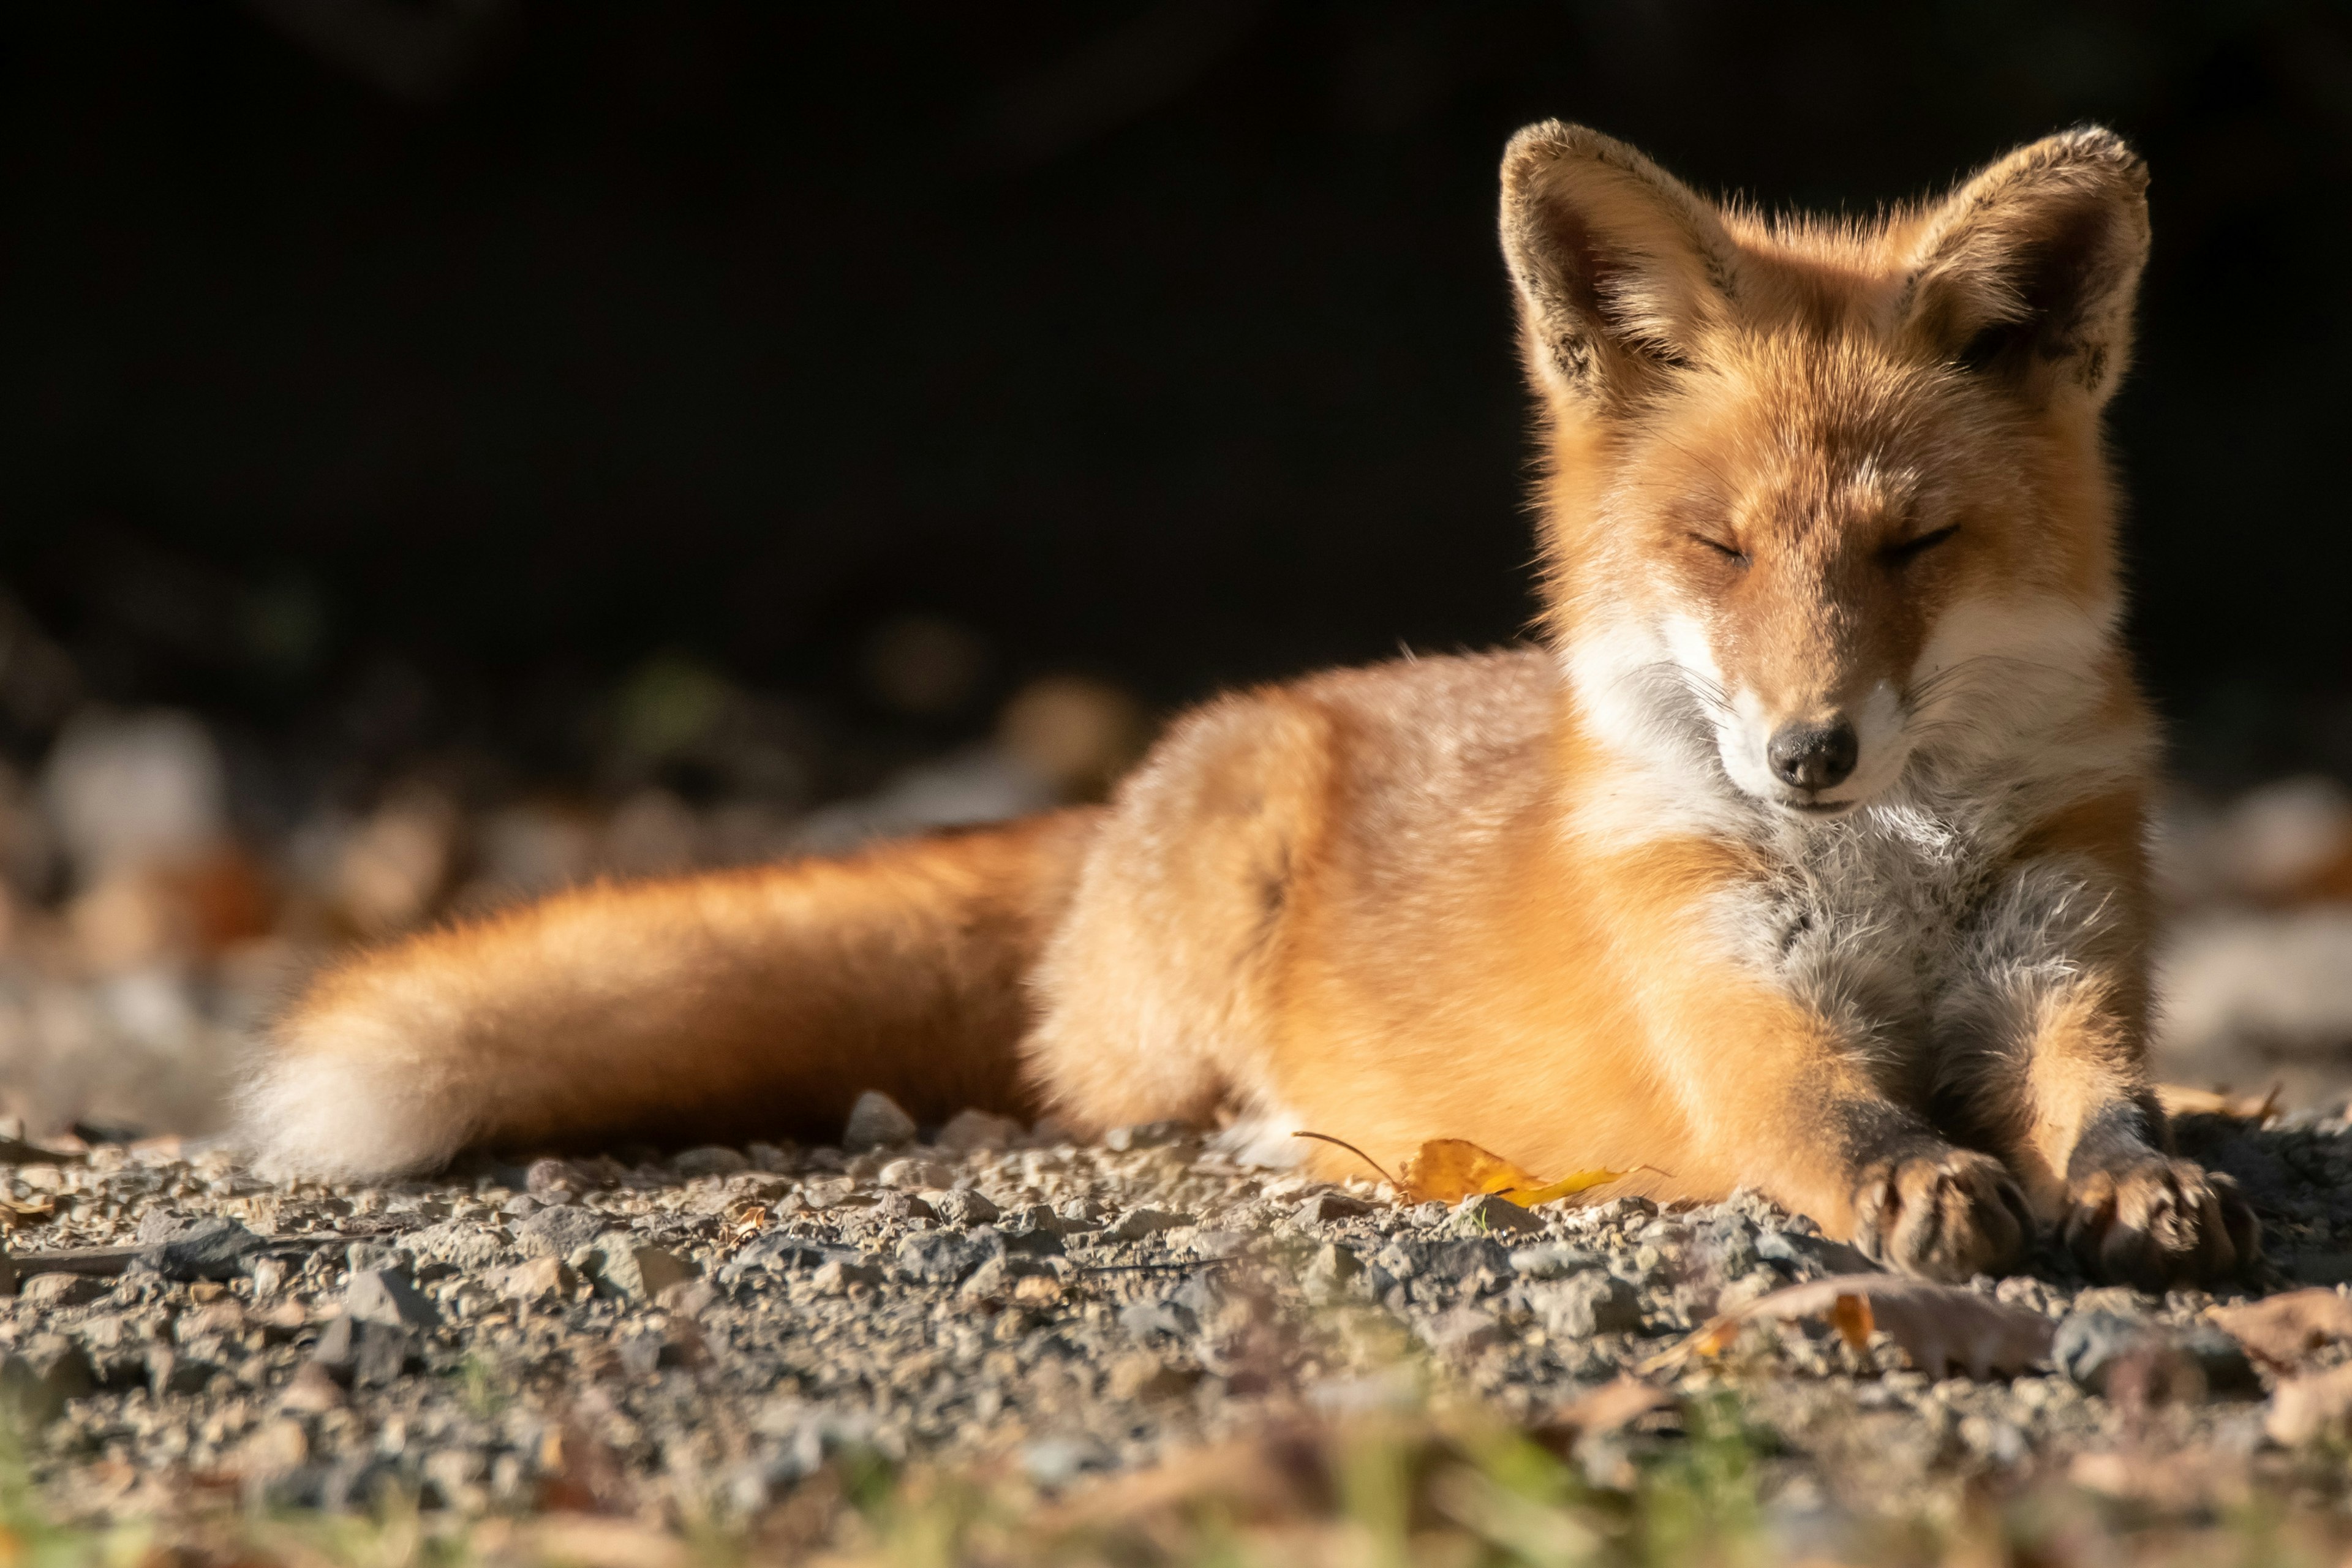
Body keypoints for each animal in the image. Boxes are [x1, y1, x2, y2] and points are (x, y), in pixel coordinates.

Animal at [243, 126, 2258, 1288]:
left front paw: (2138, 1179)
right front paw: (1920, 1180)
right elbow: (1832, 1119)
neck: (1882, 871)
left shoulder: (2061, 954)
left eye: (1912, 545)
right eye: (1715, 546)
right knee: (1089, 1092)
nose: (1806, 755)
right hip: (1191, 970)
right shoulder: (1718, 1002)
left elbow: (2100, 1099)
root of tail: (1141, 778)